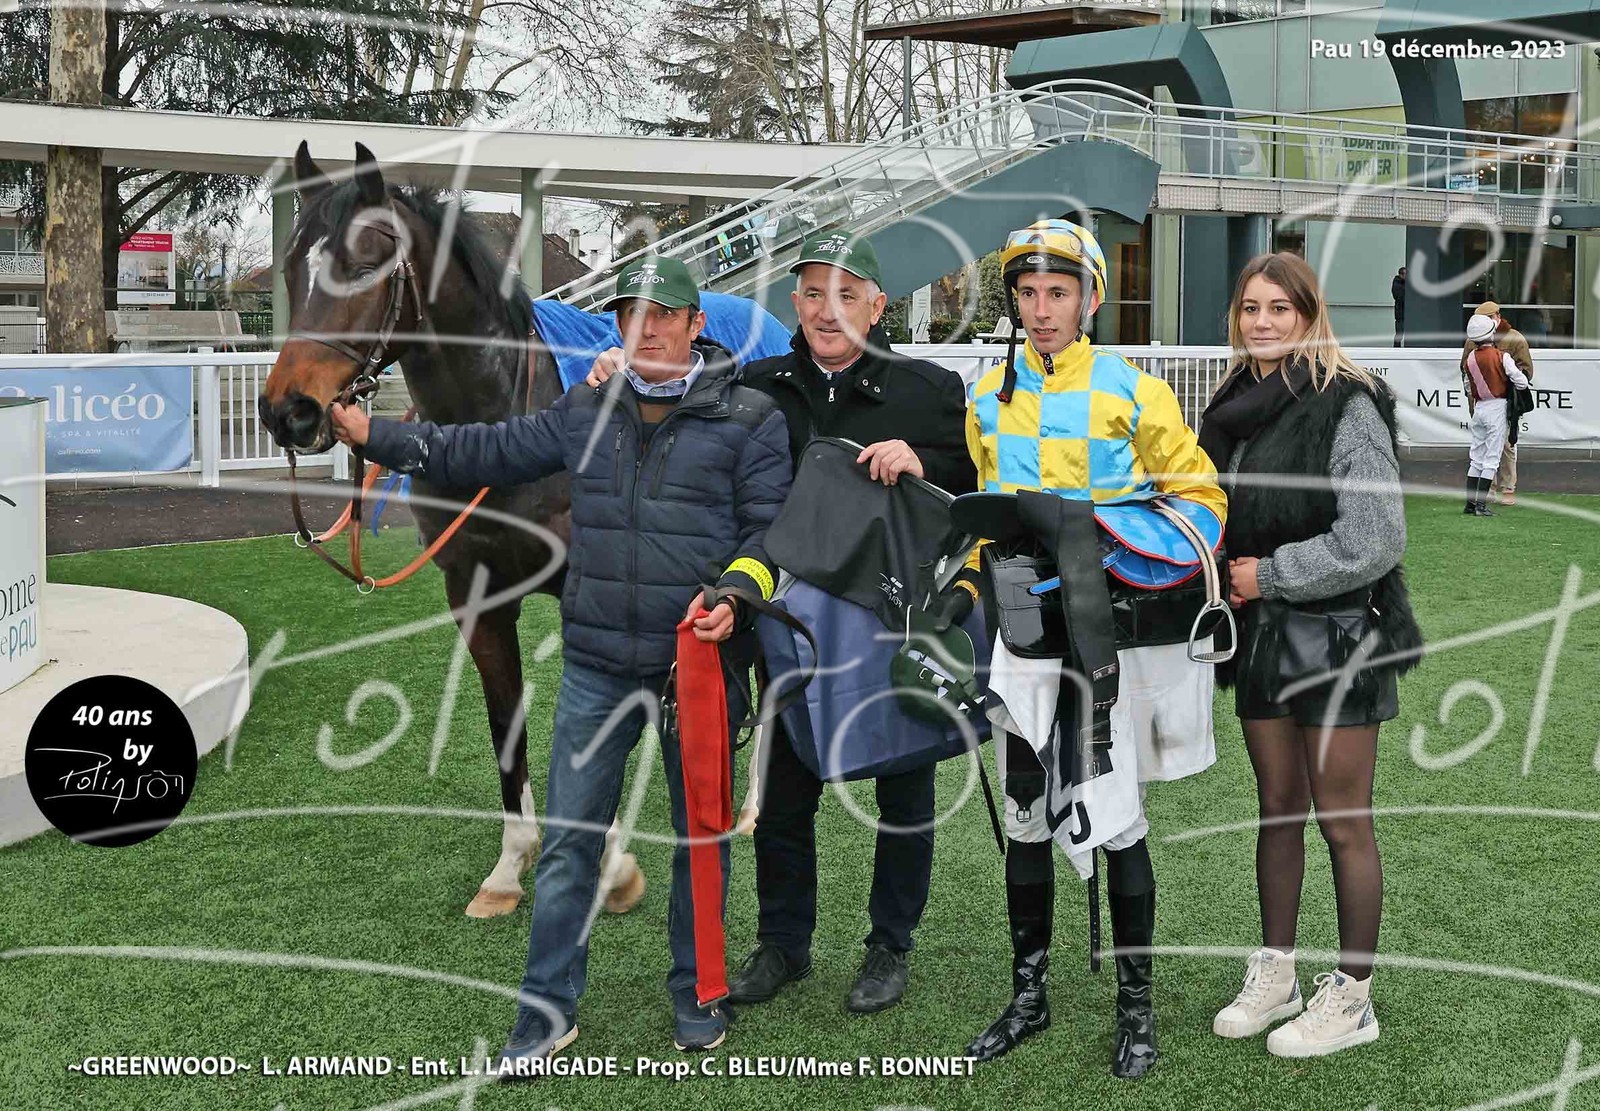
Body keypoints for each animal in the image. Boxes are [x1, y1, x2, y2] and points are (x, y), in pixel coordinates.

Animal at [257, 141, 646, 919]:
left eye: (362, 262)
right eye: (291, 265)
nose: (290, 411)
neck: (506, 419)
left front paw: (613, 863)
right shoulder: (475, 593)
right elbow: (506, 725)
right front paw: (510, 867)